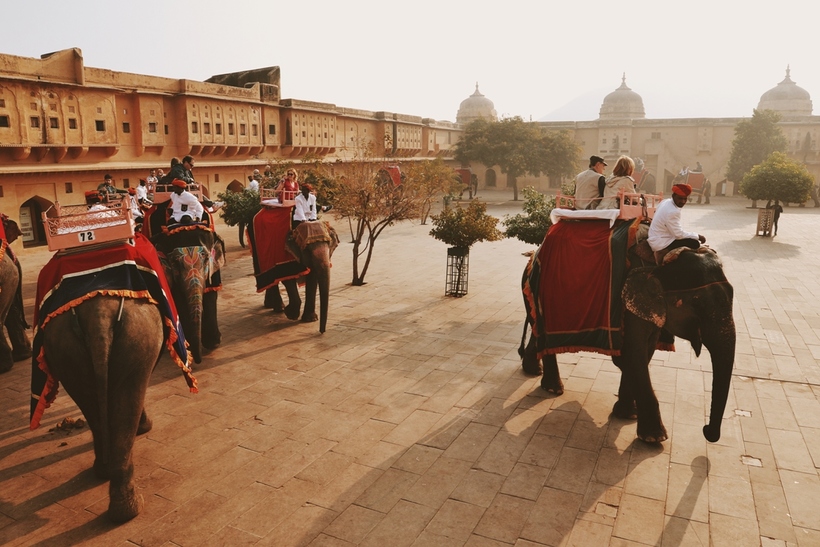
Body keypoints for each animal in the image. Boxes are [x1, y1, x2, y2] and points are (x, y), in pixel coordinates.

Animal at [29, 234, 197, 524]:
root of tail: (98, 314)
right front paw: (145, 428)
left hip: (65, 346)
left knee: (90, 402)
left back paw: (104, 470)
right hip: (137, 335)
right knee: (129, 396)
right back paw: (127, 509)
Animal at [524, 218, 732, 446]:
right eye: (697, 303)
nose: (706, 430)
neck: (660, 262)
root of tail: (534, 253)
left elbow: (643, 353)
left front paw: (627, 414)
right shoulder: (628, 305)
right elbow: (634, 354)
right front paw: (654, 438)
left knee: (537, 332)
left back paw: (533, 371)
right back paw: (553, 388)